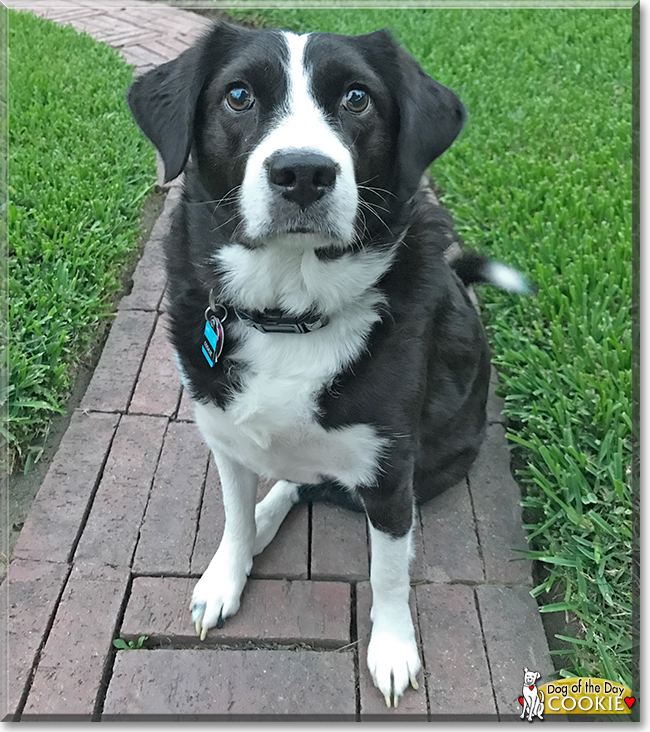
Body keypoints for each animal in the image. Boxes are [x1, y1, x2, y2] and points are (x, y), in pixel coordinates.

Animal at [128, 21, 532, 708]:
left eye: (357, 98)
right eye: (238, 95)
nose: (302, 173)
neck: (290, 313)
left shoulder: (391, 470)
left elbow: (388, 573)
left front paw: (393, 650)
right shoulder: (225, 438)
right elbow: (233, 519)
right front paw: (227, 574)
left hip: (438, 462)